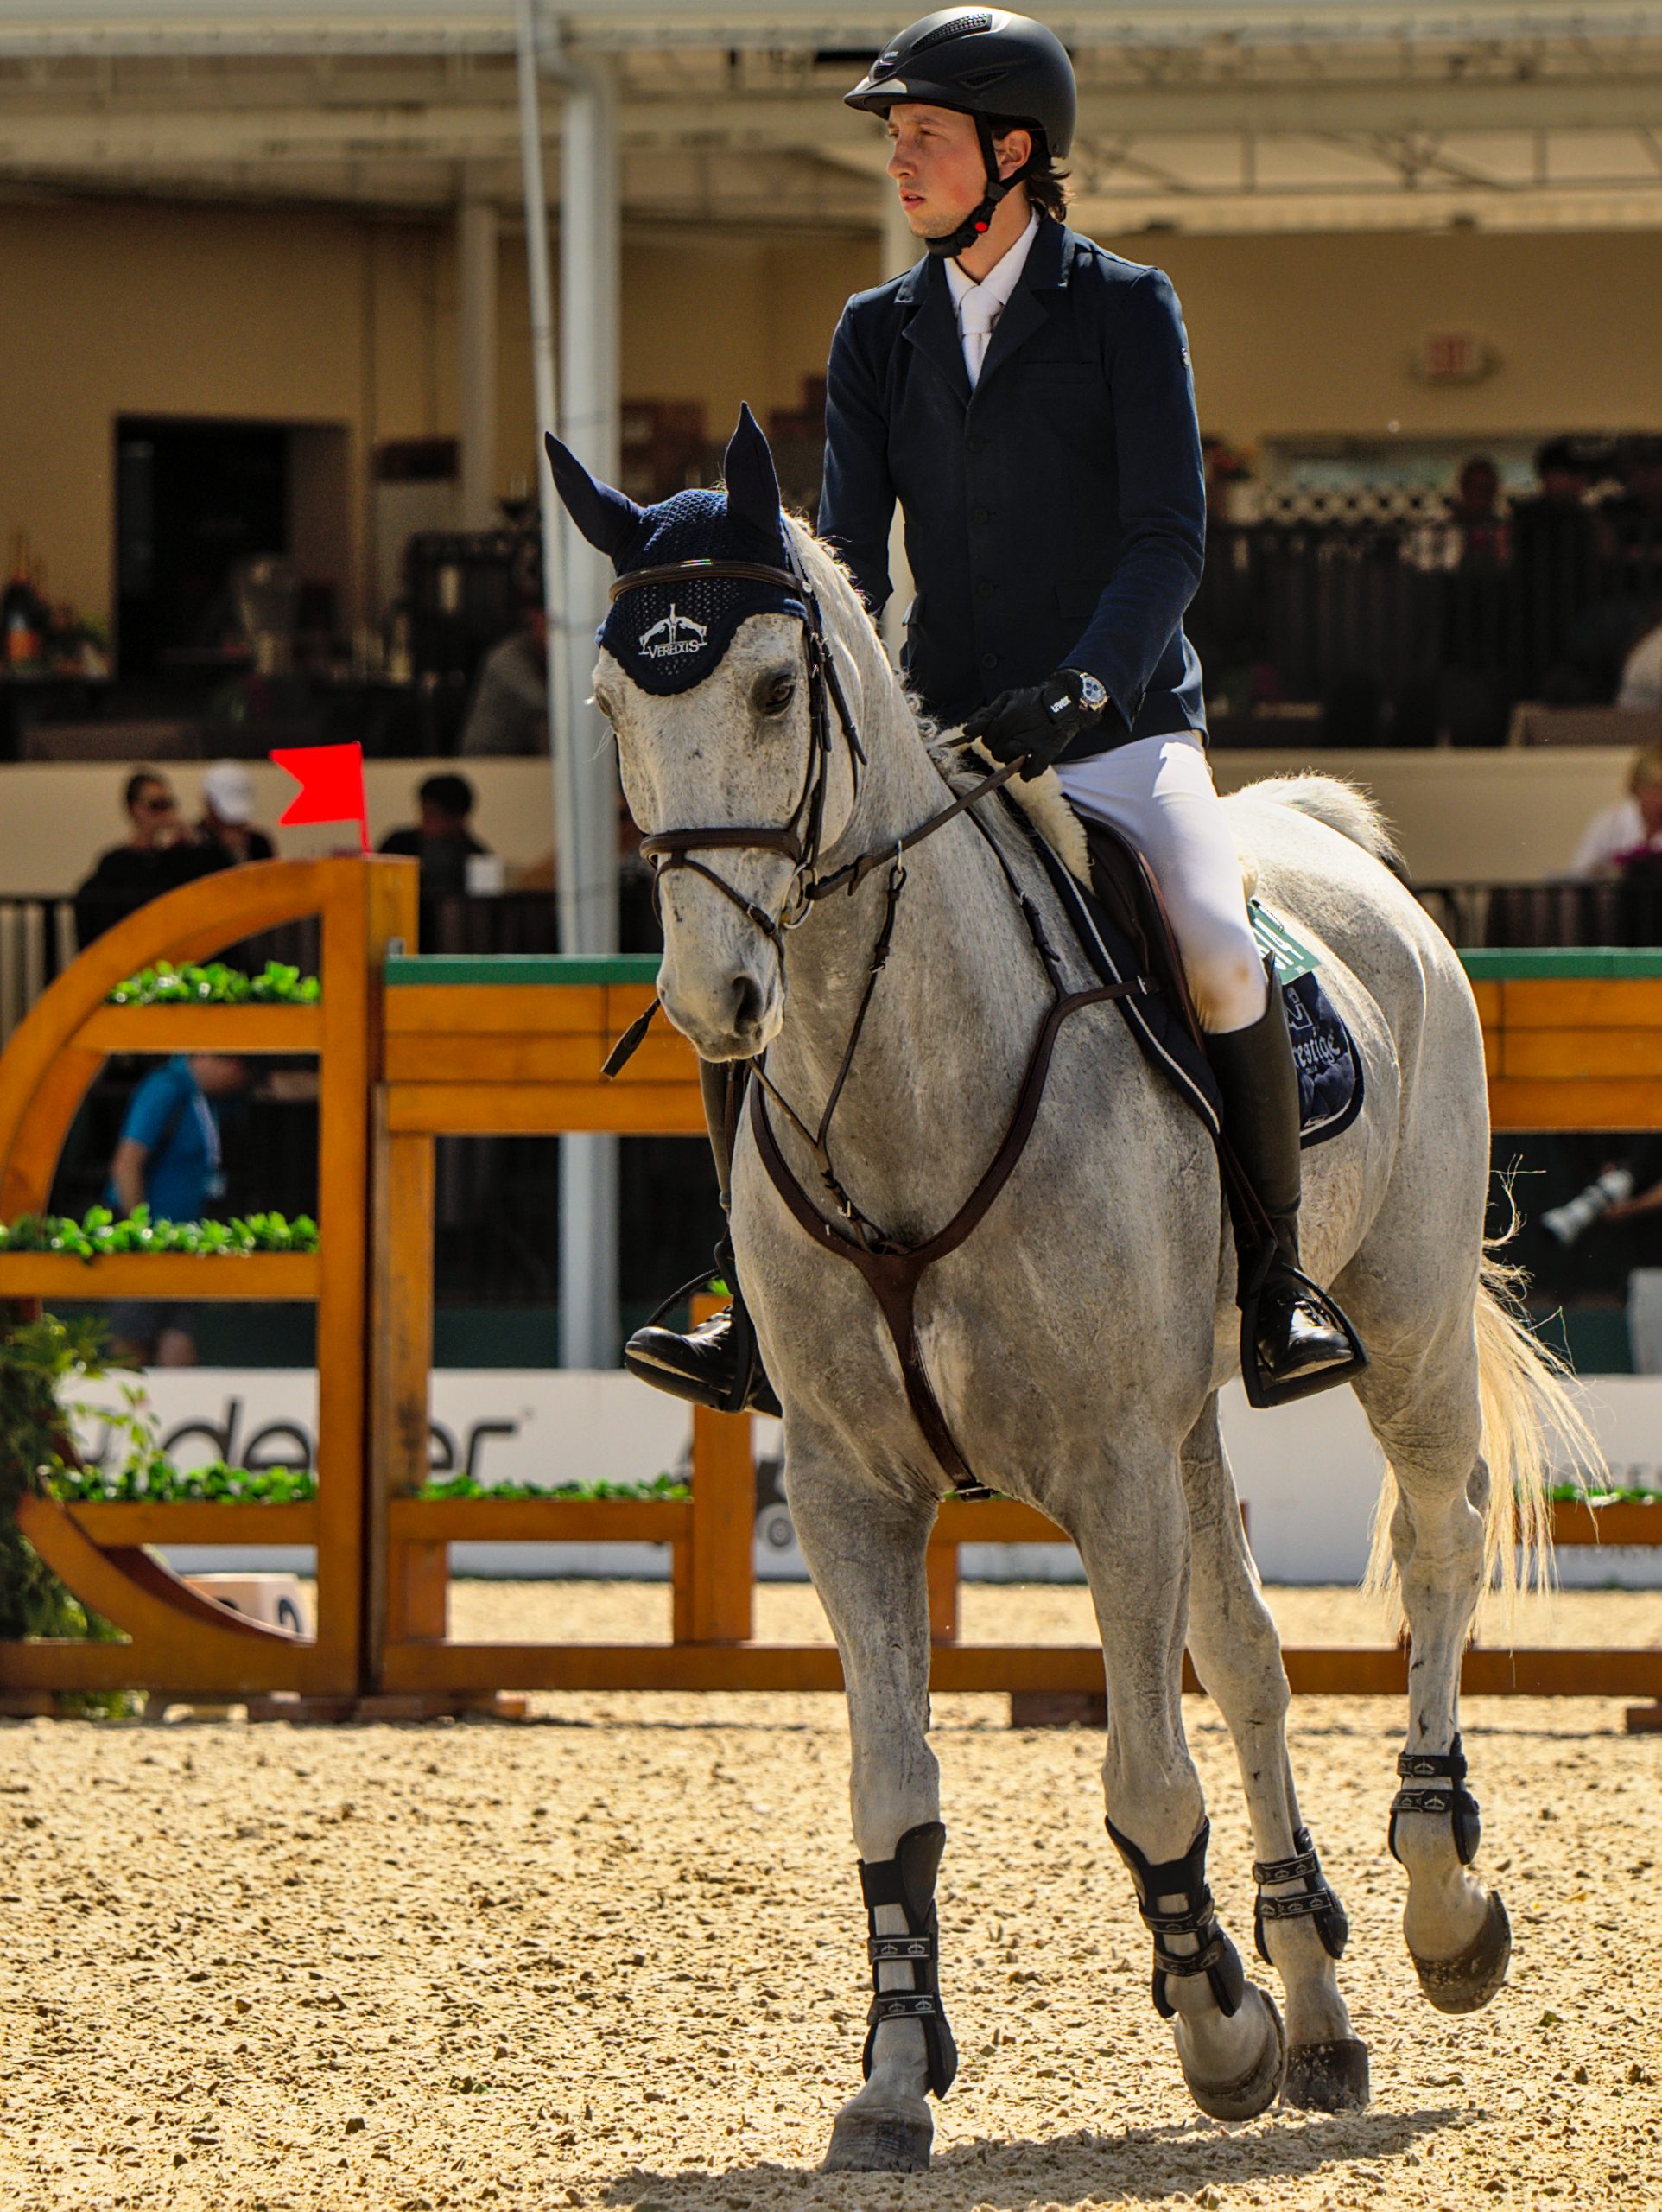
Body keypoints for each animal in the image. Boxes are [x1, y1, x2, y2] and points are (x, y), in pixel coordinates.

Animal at [548, 417, 1582, 2177]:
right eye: (616, 707)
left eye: (773, 688)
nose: (716, 1000)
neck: (905, 1082)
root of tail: (1319, 833)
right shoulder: (855, 1490)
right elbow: (894, 1790)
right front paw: (895, 2074)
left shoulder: (1107, 1469)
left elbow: (1145, 1778)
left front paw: (1215, 2022)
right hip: (1192, 1422)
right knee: (1247, 1651)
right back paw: (1319, 1999)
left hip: (1405, 1322)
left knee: (1434, 1541)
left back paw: (1441, 1904)